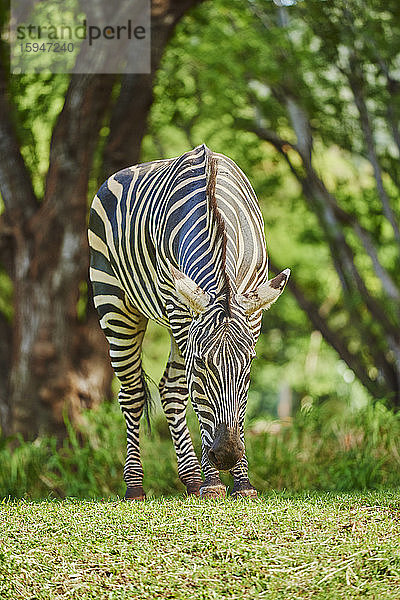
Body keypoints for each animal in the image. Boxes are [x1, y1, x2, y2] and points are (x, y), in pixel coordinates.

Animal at [89, 143, 290, 500]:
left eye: (249, 367)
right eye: (200, 365)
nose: (226, 455)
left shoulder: (253, 312)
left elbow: (234, 407)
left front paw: (241, 483)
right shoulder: (181, 310)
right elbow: (196, 400)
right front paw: (214, 482)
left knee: (169, 390)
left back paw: (192, 478)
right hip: (114, 301)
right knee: (133, 394)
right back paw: (136, 485)